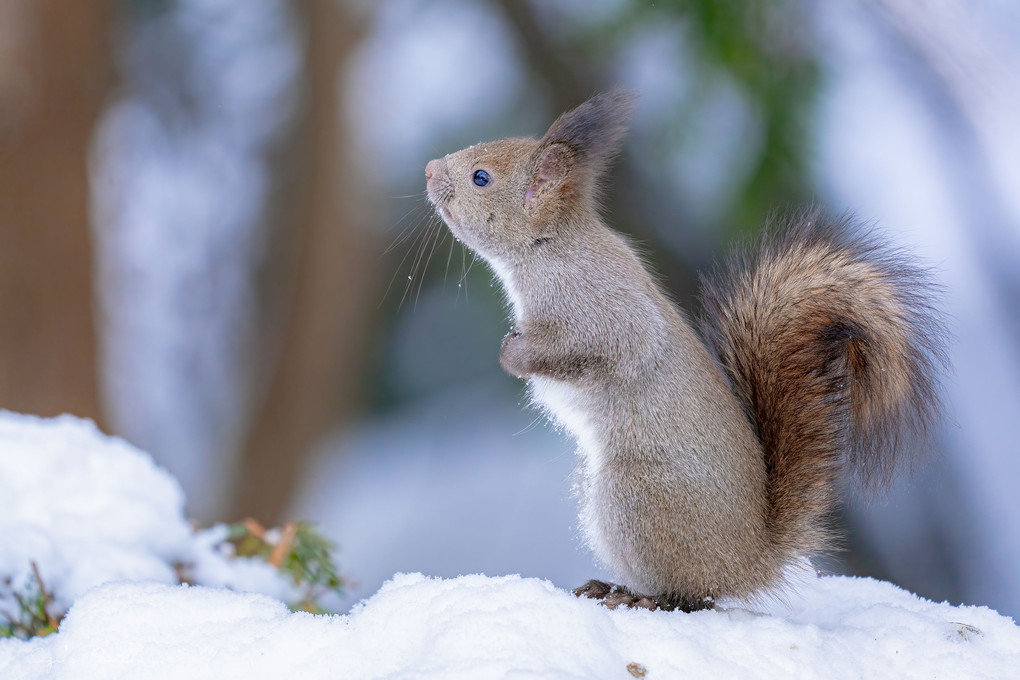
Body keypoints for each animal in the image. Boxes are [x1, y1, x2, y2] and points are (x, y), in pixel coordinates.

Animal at [422, 89, 946, 611]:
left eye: (481, 177)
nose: (428, 169)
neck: (548, 246)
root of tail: (750, 562)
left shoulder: (600, 309)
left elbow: (606, 346)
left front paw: (514, 356)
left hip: (634, 498)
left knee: (692, 594)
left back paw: (638, 597)